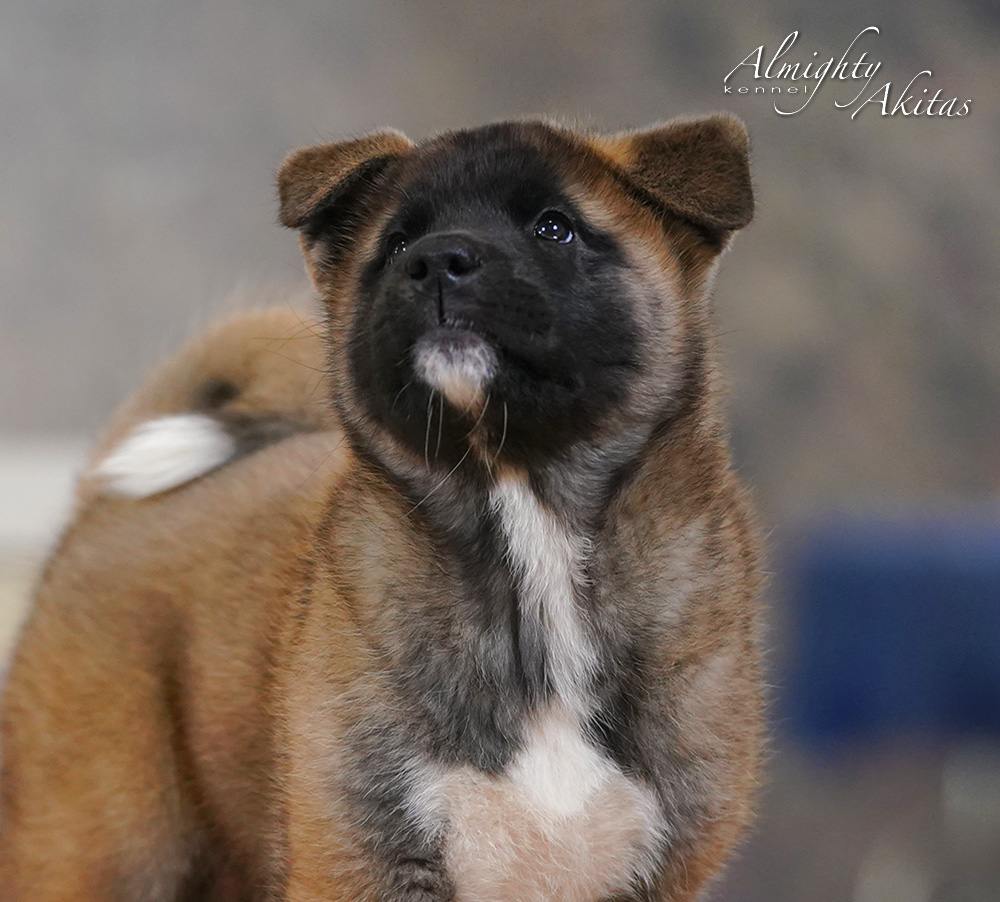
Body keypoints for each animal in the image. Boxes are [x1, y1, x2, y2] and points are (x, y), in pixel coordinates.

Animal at [1, 116, 764, 900]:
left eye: (555, 227)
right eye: (396, 243)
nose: (438, 261)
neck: (521, 515)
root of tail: (101, 510)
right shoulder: (358, 856)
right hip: (96, 849)